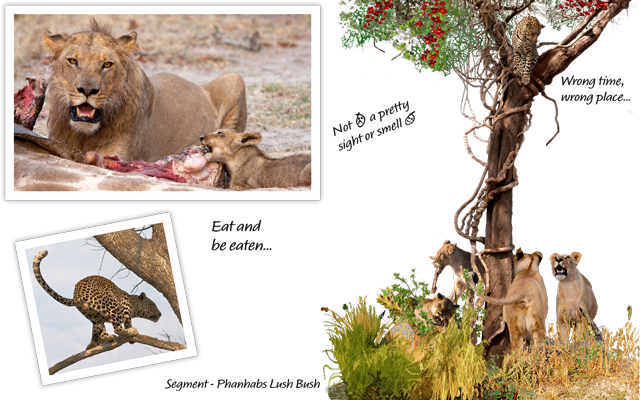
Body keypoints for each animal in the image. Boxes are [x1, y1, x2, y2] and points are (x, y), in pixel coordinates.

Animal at [32, 250, 161, 350]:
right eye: (153, 305)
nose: (160, 314)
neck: (133, 304)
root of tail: (78, 294)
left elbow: (95, 331)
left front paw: (92, 344)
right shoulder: (125, 306)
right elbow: (127, 322)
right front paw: (130, 331)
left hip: (92, 315)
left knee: (102, 330)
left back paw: (108, 338)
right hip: (111, 302)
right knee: (117, 328)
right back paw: (128, 332)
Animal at [41, 18, 247, 162]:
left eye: (107, 64)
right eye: (73, 61)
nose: (87, 90)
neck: (85, 135)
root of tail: (199, 85)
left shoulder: (119, 156)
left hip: (235, 78)